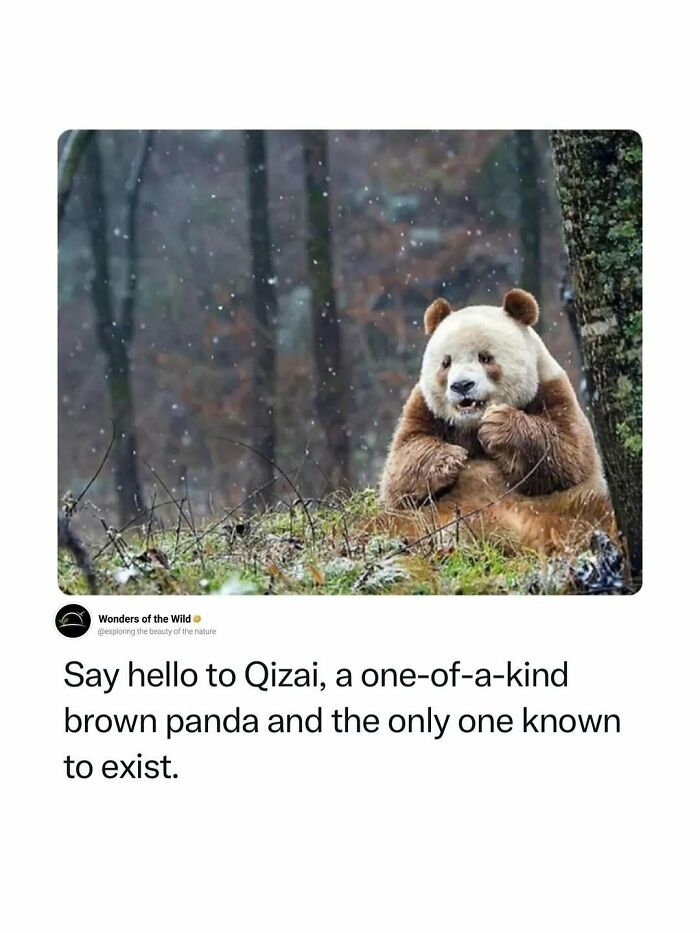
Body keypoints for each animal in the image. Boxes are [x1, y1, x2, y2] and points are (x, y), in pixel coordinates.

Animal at [379, 289, 612, 552]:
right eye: (446, 362)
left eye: (485, 357)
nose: (462, 385)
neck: (471, 424)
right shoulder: (425, 408)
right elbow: (400, 468)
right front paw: (449, 459)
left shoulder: (551, 390)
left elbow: (567, 453)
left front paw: (499, 426)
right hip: (419, 518)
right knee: (385, 522)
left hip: (564, 506)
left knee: (595, 512)